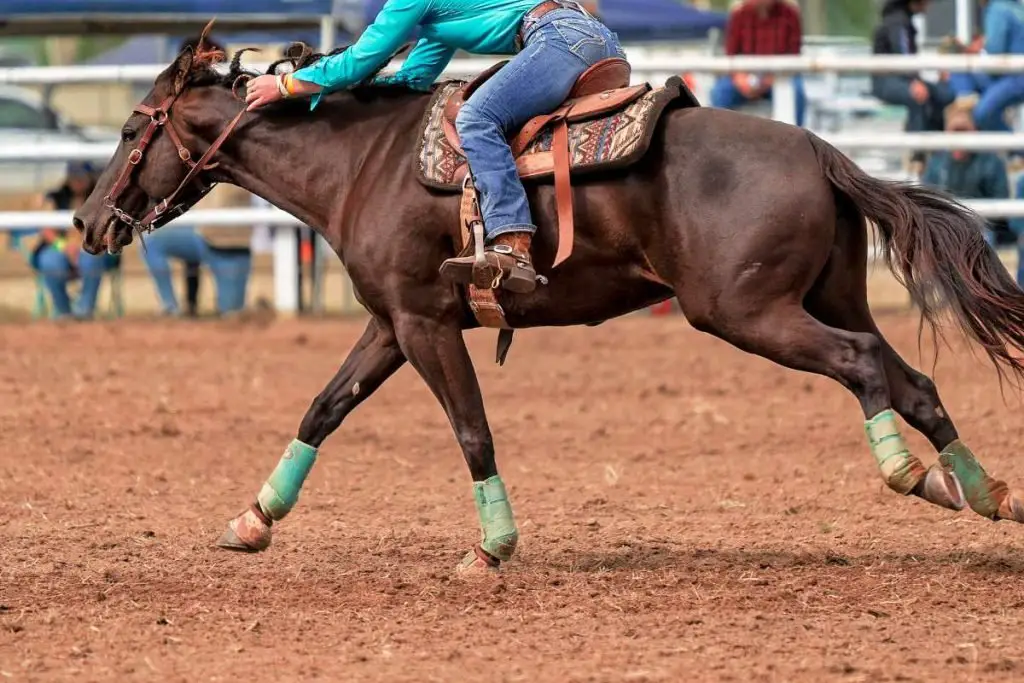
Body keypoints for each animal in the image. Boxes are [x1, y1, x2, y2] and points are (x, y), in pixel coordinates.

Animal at [75, 40, 1024, 569]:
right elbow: (323, 407)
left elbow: (471, 429)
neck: (361, 163)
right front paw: (253, 519)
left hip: (747, 311)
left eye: (127, 130)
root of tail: (822, 150)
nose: (87, 221)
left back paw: (909, 473)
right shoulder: (392, 323)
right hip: (831, 296)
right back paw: (979, 490)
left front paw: (492, 547)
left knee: (864, 369)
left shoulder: (425, 325)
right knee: (913, 382)